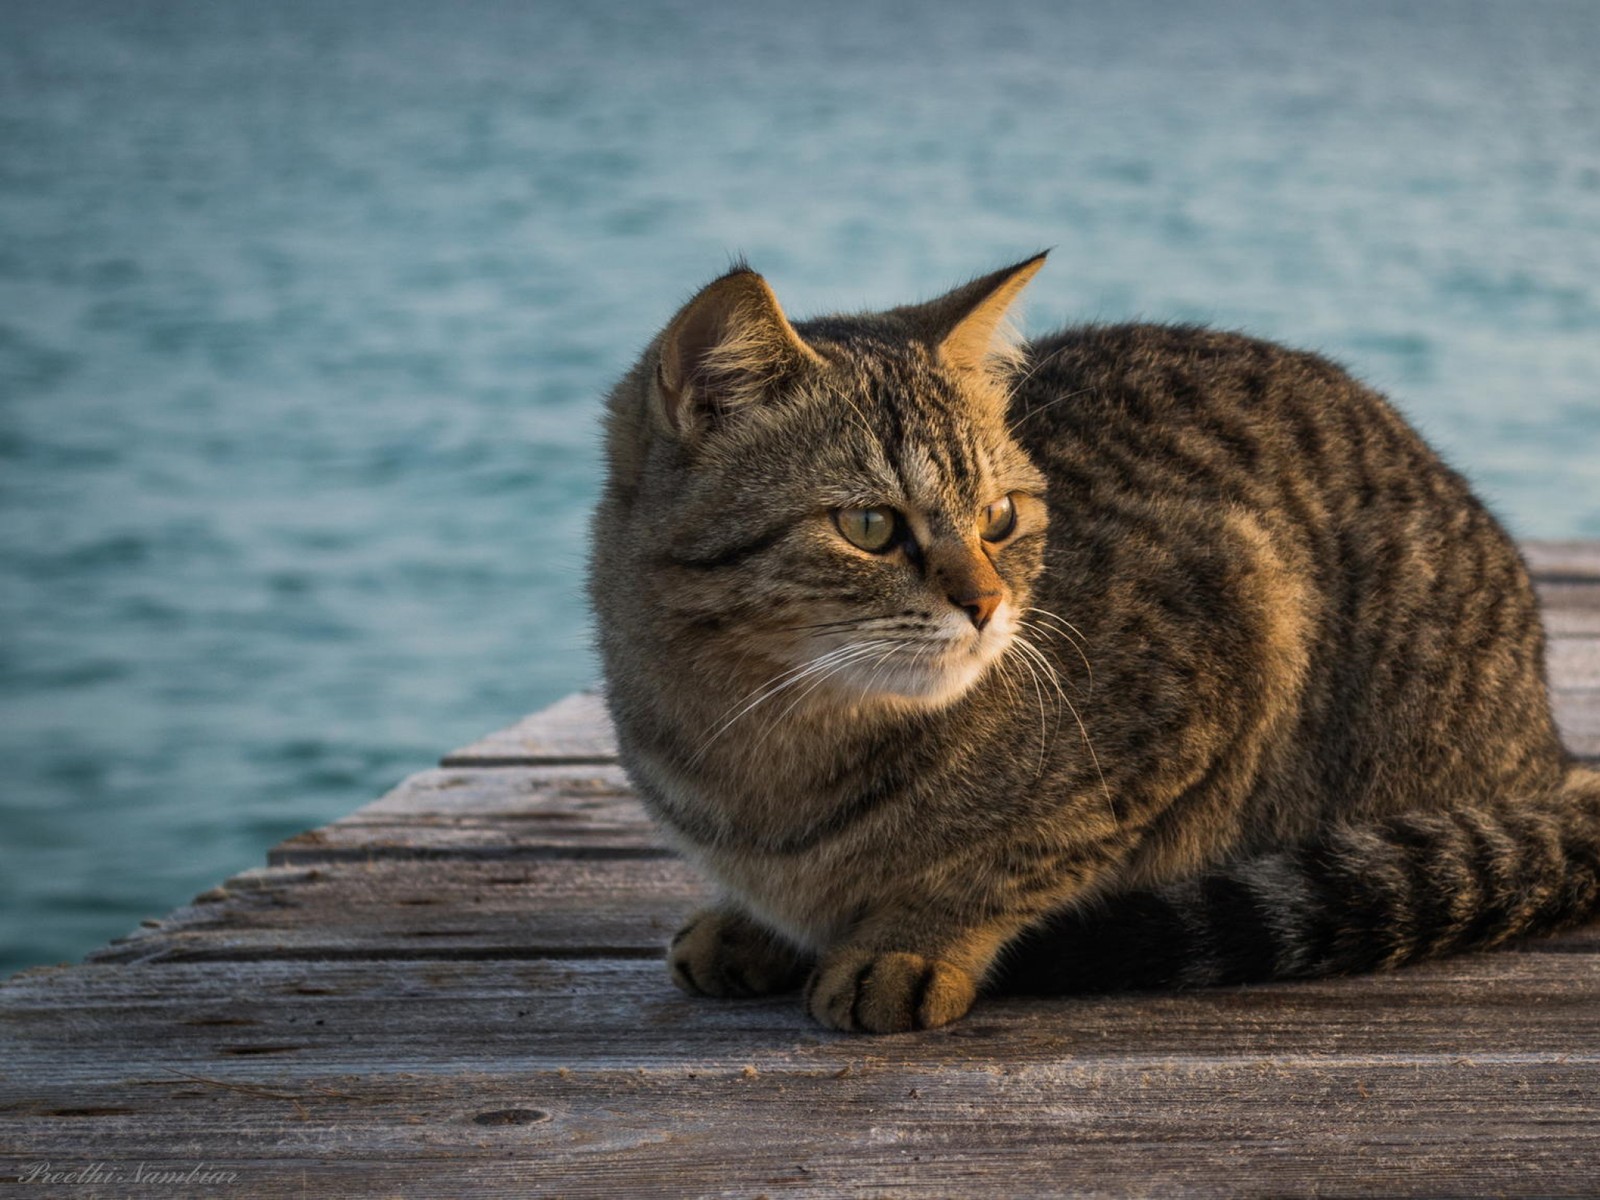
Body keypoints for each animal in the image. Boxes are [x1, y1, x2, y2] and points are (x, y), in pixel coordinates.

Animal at [588, 254, 1600, 1036]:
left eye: (1000, 517)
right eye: (870, 526)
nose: (989, 604)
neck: (759, 748)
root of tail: (1545, 747)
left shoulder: (1233, 627)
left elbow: (1020, 858)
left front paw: (907, 942)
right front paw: (752, 922)